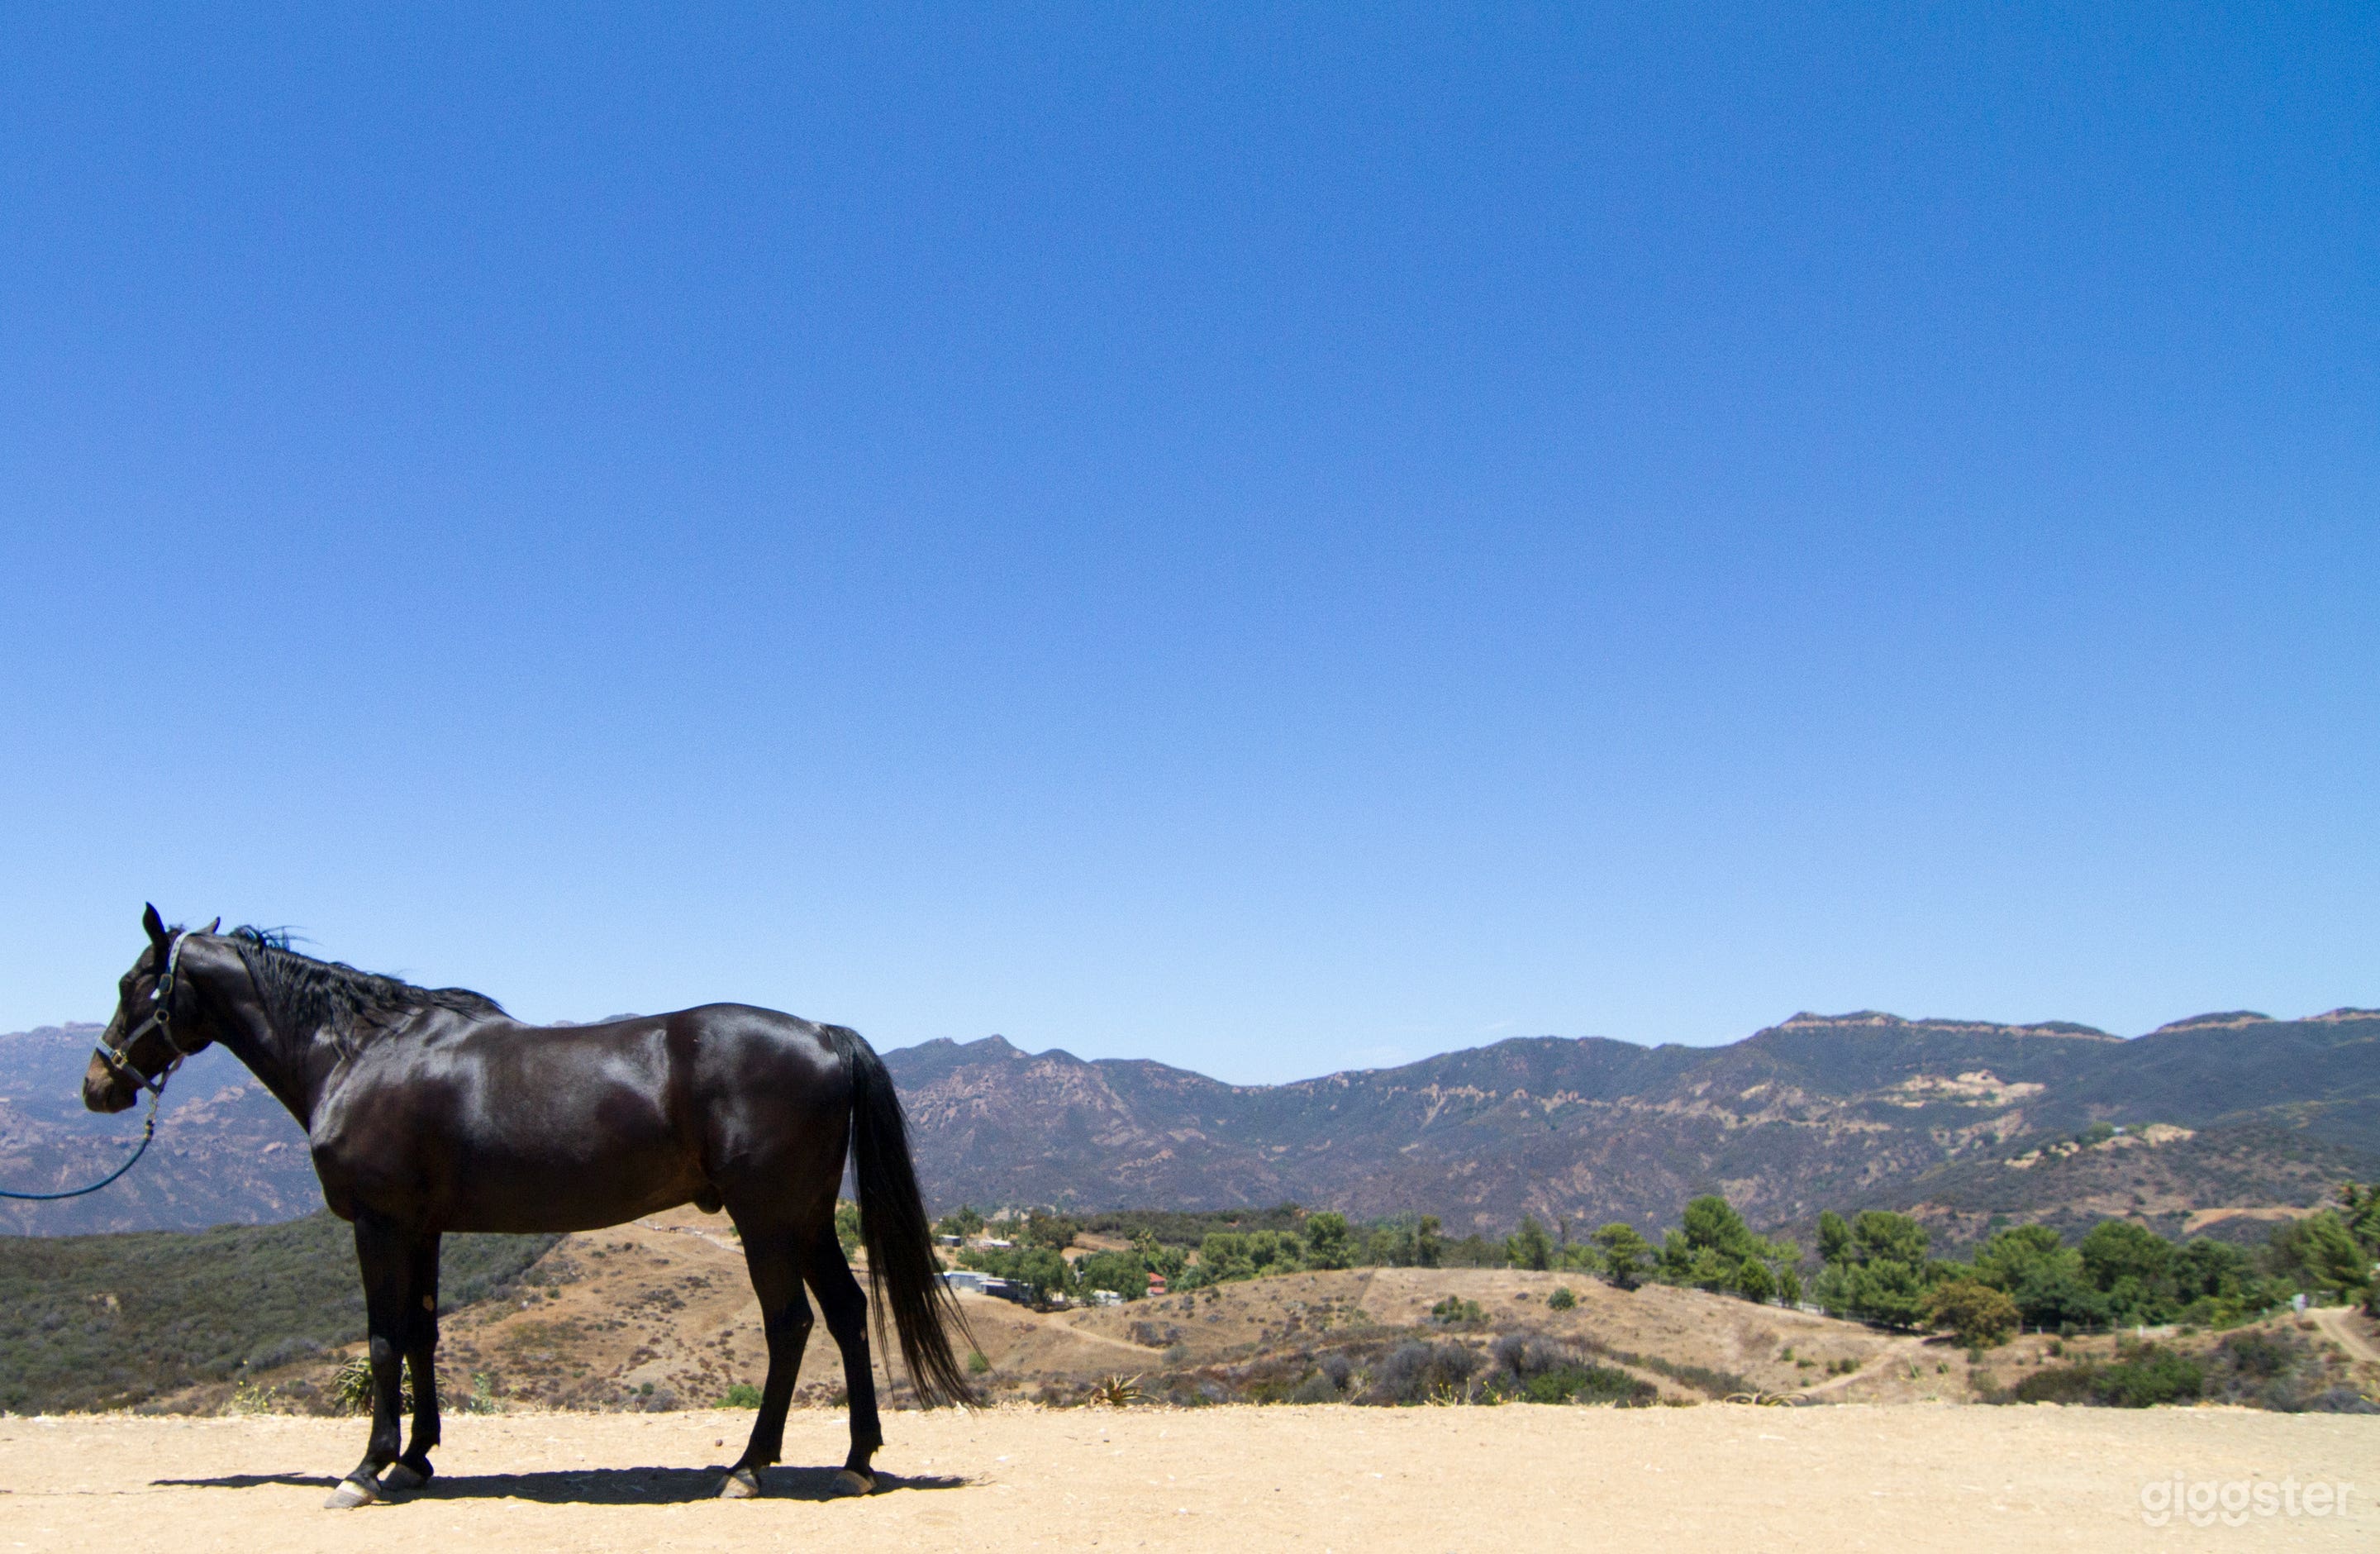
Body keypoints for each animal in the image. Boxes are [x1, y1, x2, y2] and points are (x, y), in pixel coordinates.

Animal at [84, 905, 973, 1508]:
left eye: (135, 982)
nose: (97, 1083)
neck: (361, 1052)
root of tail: (826, 1034)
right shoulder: (423, 1228)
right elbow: (422, 1335)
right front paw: (416, 1458)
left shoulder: (379, 1225)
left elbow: (382, 1338)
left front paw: (365, 1469)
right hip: (808, 1219)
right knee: (850, 1313)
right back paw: (857, 1461)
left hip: (766, 1222)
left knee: (790, 1325)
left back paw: (750, 1467)